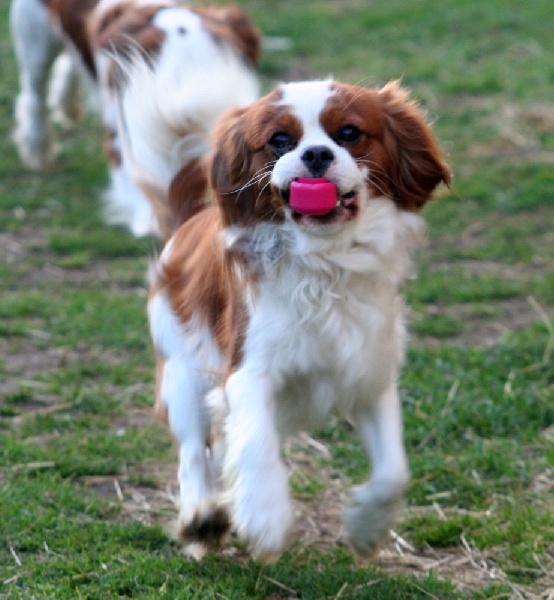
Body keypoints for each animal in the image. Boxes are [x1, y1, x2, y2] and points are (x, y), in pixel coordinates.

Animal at [8, 0, 258, 239]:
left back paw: (66, 105)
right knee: (34, 94)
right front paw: (149, 222)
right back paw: (37, 149)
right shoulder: (121, 131)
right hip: (34, 36)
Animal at [150, 77, 448, 560]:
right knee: (195, 449)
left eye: (349, 133)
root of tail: (187, 222)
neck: (327, 263)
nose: (316, 154)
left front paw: (366, 525)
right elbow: (255, 443)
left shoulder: (369, 373)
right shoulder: (248, 370)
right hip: (181, 370)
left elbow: (393, 471)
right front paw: (265, 517)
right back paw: (202, 517)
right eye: (279, 140)